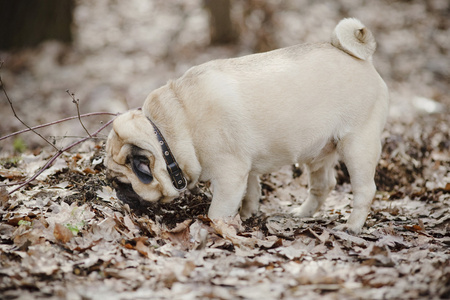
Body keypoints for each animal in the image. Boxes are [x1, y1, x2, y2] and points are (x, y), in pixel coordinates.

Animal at [104, 18, 386, 234]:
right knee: (323, 185)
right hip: (319, 152)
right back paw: (302, 213)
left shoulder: (229, 175)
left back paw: (352, 227)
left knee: (365, 189)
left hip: (357, 145)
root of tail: (361, 57)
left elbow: (218, 210)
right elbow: (251, 191)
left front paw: (216, 227)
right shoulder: (244, 170)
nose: (117, 194)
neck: (170, 128)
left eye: (124, 183)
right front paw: (248, 215)